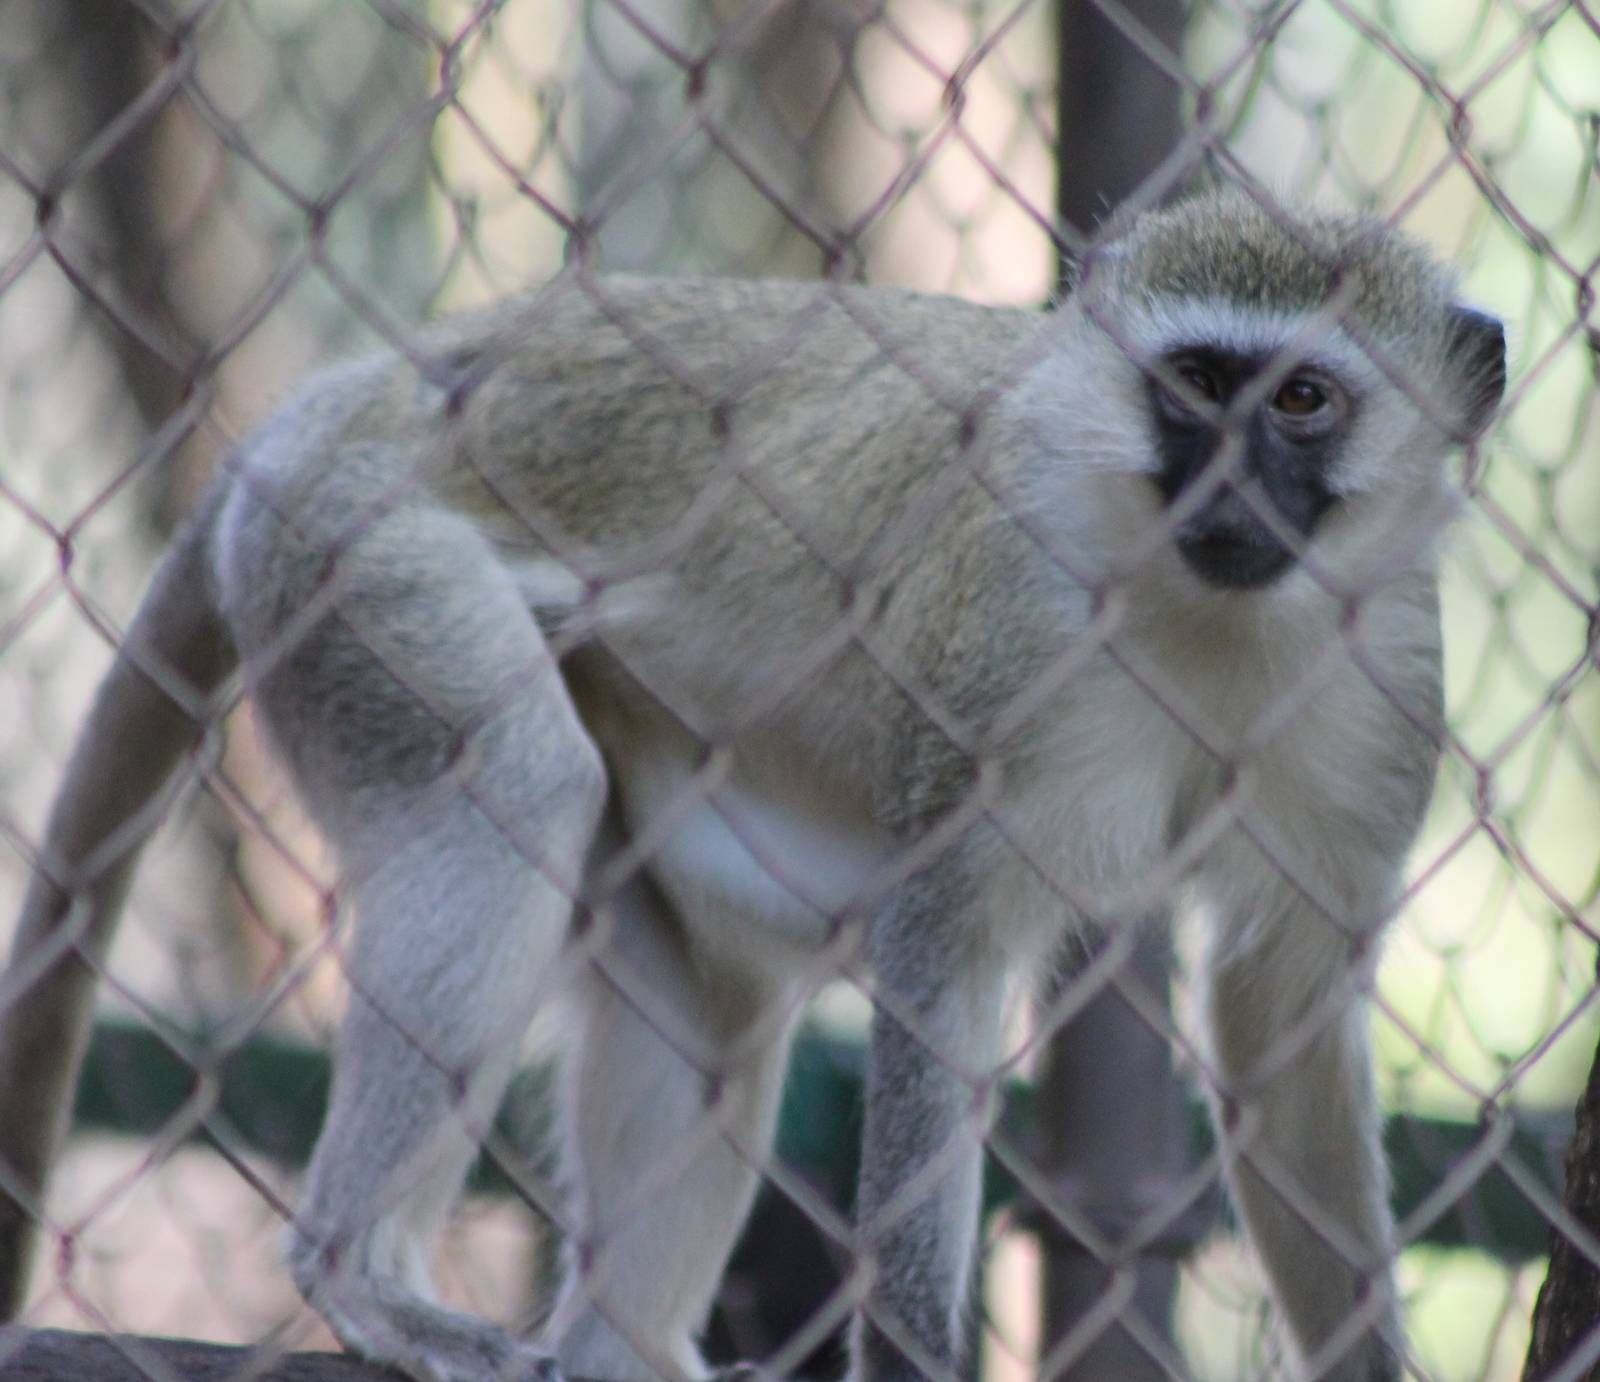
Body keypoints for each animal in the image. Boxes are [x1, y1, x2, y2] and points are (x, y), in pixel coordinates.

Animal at [0, 187, 1505, 1382]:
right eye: (1194, 389)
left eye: (1300, 401)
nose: (1229, 488)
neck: (1214, 615)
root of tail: (345, 394)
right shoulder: (1014, 644)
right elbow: (942, 955)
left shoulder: (1392, 681)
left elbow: (1278, 1021)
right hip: (348, 555)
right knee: (511, 790)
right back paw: (361, 1274)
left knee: (710, 1017)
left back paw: (617, 1348)